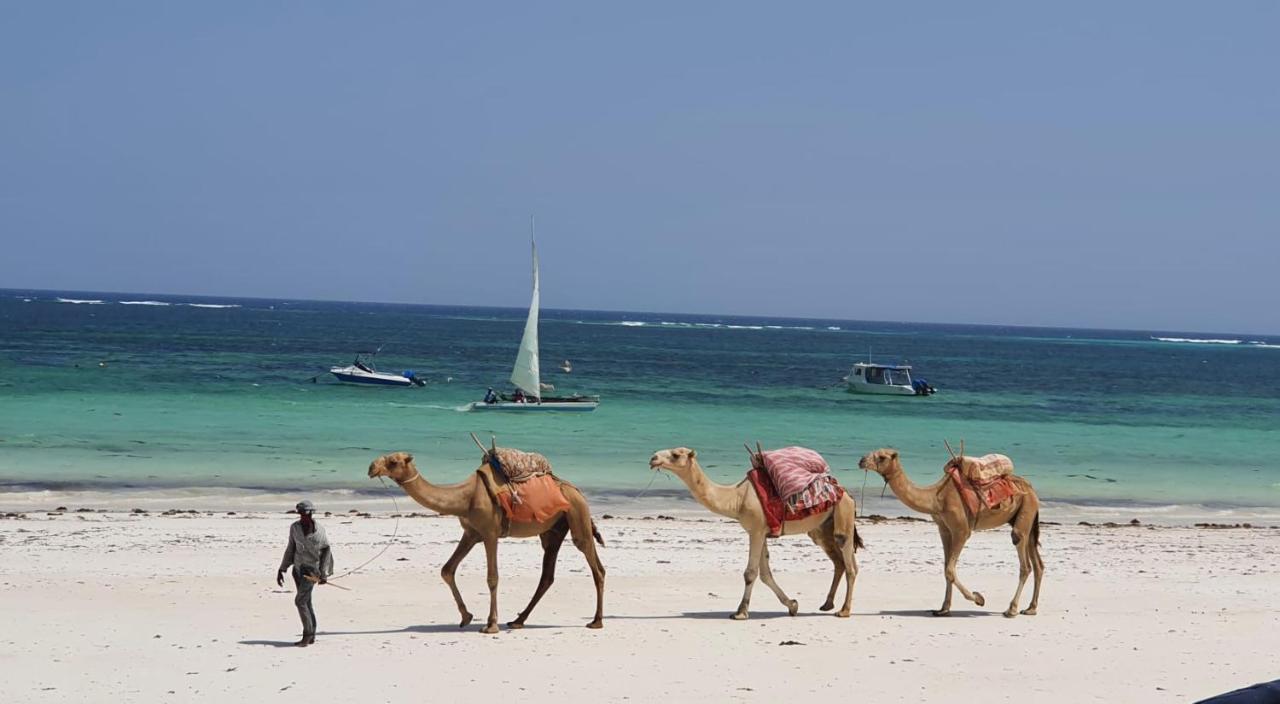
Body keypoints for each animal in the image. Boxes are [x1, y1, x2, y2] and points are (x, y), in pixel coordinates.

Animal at [368, 453, 606, 640]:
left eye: (393, 460)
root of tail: (576, 490)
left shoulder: (490, 533)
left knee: (596, 566)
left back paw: (596, 621)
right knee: (548, 574)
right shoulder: (471, 533)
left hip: (577, 514)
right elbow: (447, 569)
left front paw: (490, 625)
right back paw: (518, 620)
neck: (466, 497)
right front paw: (466, 617)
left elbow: (492, 578)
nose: (371, 467)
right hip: (553, 530)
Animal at [650, 450, 860, 622]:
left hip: (843, 516)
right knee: (840, 563)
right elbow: (765, 574)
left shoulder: (757, 531)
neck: (736, 498)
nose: (653, 458)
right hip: (821, 529)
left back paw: (844, 611)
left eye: (676, 454)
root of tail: (846, 493)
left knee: (850, 564)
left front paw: (740, 612)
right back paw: (827, 604)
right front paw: (793, 605)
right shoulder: (761, 531)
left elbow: (750, 573)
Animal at [855, 448, 1044, 619]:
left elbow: (950, 570)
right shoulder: (944, 529)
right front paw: (943, 609)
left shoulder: (961, 530)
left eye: (882, 456)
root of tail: (1032, 489)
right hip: (1025, 517)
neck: (935, 498)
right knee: (1038, 563)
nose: (862, 460)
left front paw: (978, 598)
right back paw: (1031, 608)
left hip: (1025, 509)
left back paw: (1011, 609)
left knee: (1023, 556)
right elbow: (946, 569)